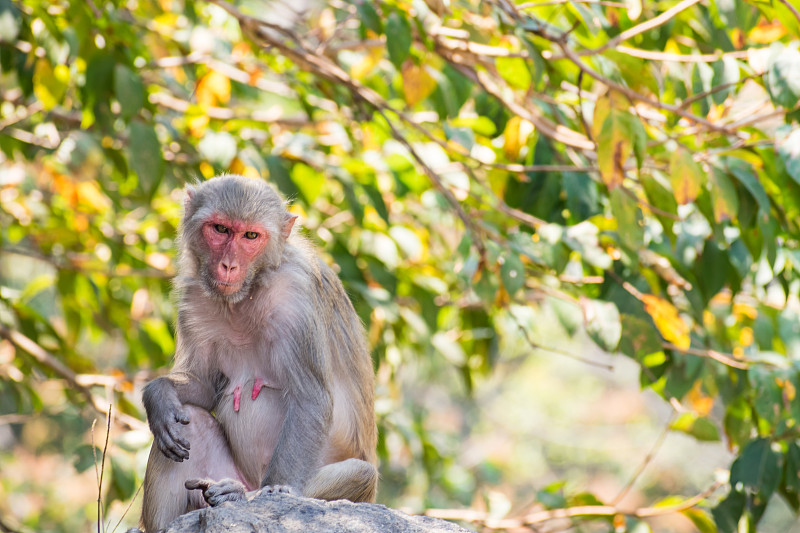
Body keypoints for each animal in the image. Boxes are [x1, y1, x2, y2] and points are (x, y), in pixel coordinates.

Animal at [138, 174, 378, 528]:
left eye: (251, 236)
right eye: (220, 229)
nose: (228, 266)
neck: (251, 290)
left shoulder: (297, 297)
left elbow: (311, 398)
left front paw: (272, 491)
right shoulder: (194, 299)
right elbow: (204, 389)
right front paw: (159, 396)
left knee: (361, 474)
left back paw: (239, 495)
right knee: (192, 421)